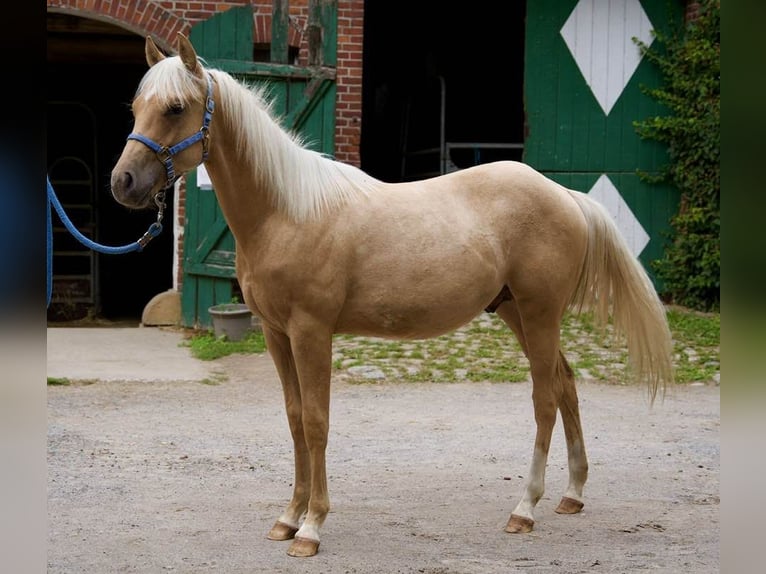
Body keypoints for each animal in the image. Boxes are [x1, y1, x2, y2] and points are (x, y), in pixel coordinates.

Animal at [110, 33, 674, 558]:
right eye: (136, 107)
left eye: (175, 107)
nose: (123, 182)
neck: (286, 211)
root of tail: (567, 195)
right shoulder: (275, 333)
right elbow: (294, 420)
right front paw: (287, 518)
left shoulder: (311, 332)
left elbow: (316, 422)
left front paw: (311, 528)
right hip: (517, 312)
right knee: (566, 384)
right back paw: (572, 494)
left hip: (539, 314)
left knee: (545, 400)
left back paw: (525, 509)